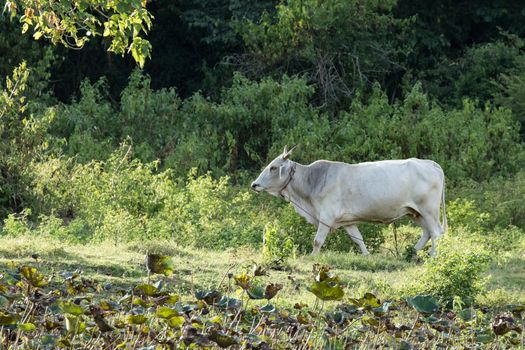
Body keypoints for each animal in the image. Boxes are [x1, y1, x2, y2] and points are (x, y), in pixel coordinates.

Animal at [250, 146, 446, 256]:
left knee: (436, 233)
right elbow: (358, 239)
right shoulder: (347, 221)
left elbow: (317, 241)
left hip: (429, 210)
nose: (254, 184)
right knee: (427, 233)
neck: (313, 181)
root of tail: (431, 163)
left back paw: (434, 256)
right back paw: (411, 253)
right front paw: (367, 256)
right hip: (415, 213)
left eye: (273, 167)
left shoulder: (326, 217)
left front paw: (312, 257)